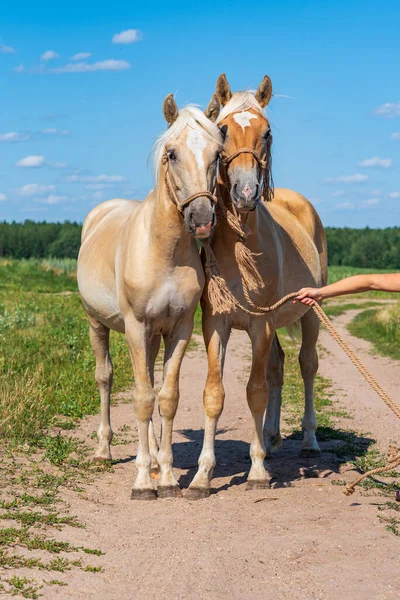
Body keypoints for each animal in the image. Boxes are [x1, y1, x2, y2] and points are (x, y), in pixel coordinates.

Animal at [77, 92, 222, 496]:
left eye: (217, 153)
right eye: (171, 153)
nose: (201, 219)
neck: (163, 252)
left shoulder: (179, 329)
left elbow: (167, 397)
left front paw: (168, 476)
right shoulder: (136, 326)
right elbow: (142, 399)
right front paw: (143, 481)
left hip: (154, 336)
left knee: (154, 384)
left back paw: (157, 461)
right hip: (98, 324)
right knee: (105, 377)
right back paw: (104, 451)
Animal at [186, 75, 326, 500]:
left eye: (267, 133)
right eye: (222, 130)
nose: (246, 193)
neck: (241, 246)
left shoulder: (259, 327)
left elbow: (255, 391)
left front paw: (259, 470)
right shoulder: (216, 324)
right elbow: (214, 394)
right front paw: (202, 476)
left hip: (310, 314)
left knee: (307, 365)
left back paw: (308, 441)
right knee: (279, 366)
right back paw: (272, 436)